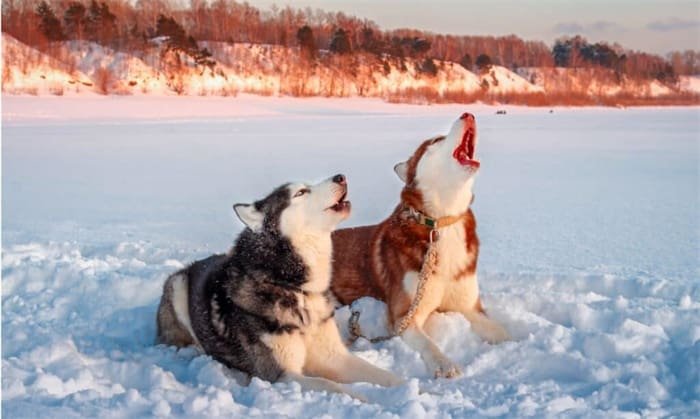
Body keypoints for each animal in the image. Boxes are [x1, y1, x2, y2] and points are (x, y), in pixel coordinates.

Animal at [156, 175, 402, 400]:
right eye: (301, 193)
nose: (340, 177)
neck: (294, 287)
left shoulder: (334, 357)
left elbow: (387, 376)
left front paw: (407, 388)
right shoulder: (280, 375)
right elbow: (332, 385)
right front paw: (363, 399)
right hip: (178, 286)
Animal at [332, 113, 508, 378]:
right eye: (436, 140)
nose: (468, 114)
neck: (441, 222)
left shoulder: (469, 307)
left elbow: (501, 332)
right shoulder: (404, 316)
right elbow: (428, 343)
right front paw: (444, 363)